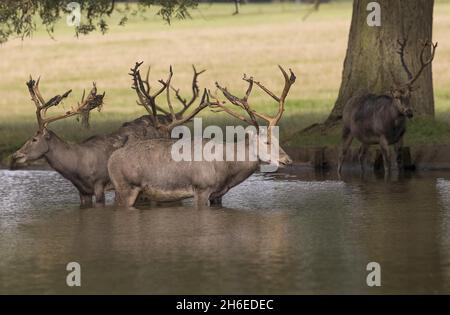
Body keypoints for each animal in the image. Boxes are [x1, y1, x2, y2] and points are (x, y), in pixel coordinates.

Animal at [107, 66, 298, 210]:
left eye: (278, 140)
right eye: (266, 141)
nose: (288, 160)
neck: (227, 169)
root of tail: (111, 160)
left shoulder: (218, 194)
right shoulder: (201, 187)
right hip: (125, 186)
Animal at [338, 39, 440, 175]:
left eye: (410, 95)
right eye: (396, 96)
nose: (409, 112)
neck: (393, 127)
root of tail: (348, 102)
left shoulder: (400, 138)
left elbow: (400, 162)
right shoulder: (381, 137)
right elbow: (387, 165)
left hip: (366, 138)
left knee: (361, 154)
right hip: (347, 128)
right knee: (342, 154)